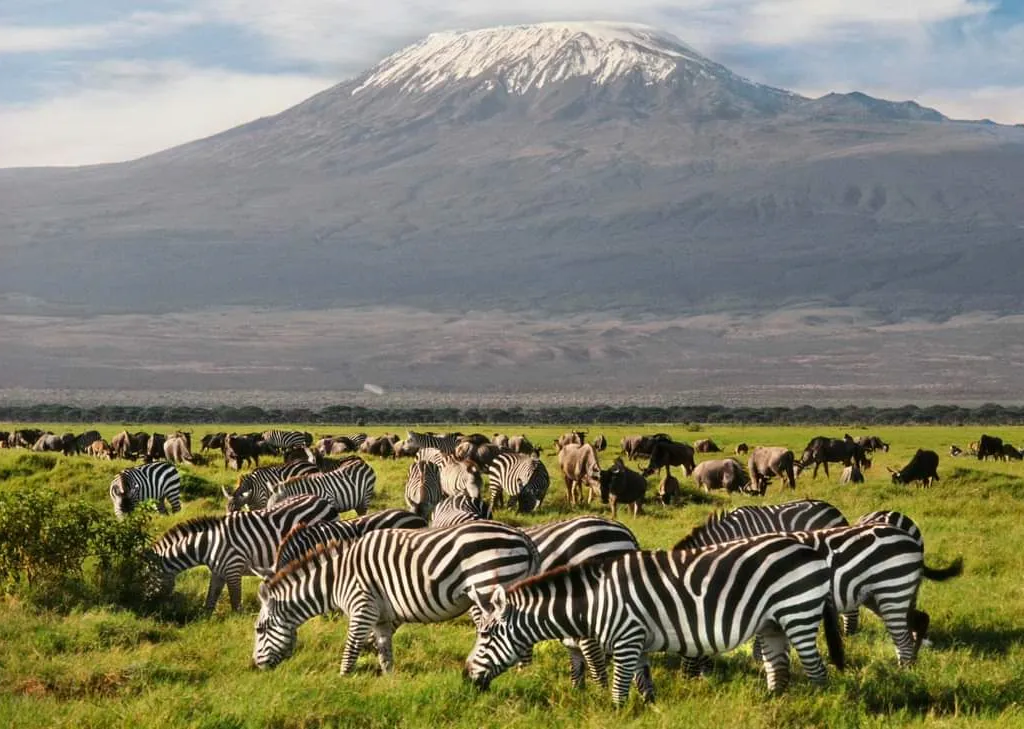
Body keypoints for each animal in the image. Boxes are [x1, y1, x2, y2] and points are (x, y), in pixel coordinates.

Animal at [151, 494, 338, 611]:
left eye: (148, 579)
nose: (156, 609)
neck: (208, 544)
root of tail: (324, 501)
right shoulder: (218, 572)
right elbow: (210, 601)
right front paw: (205, 621)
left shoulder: (233, 568)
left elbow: (235, 604)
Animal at [252, 521, 540, 673]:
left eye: (259, 629)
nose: (255, 666)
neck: (336, 580)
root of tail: (521, 536)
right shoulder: (380, 616)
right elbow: (384, 649)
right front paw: (390, 682)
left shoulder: (362, 606)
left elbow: (351, 648)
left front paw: (342, 681)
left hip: (490, 586)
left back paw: (521, 676)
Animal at [464, 534, 845, 706]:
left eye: (486, 635)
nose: (466, 677)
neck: (595, 600)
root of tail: (809, 549)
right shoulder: (640, 642)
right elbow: (643, 682)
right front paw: (649, 709)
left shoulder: (626, 637)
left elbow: (619, 687)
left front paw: (616, 714)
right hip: (771, 623)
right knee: (778, 669)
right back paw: (772, 705)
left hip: (797, 613)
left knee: (817, 670)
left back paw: (822, 702)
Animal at [673, 523, 964, 666]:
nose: (690, 680)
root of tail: (912, 539)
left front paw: (759, 661)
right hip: (881, 595)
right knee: (919, 618)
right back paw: (913, 660)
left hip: (892, 588)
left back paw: (906, 667)